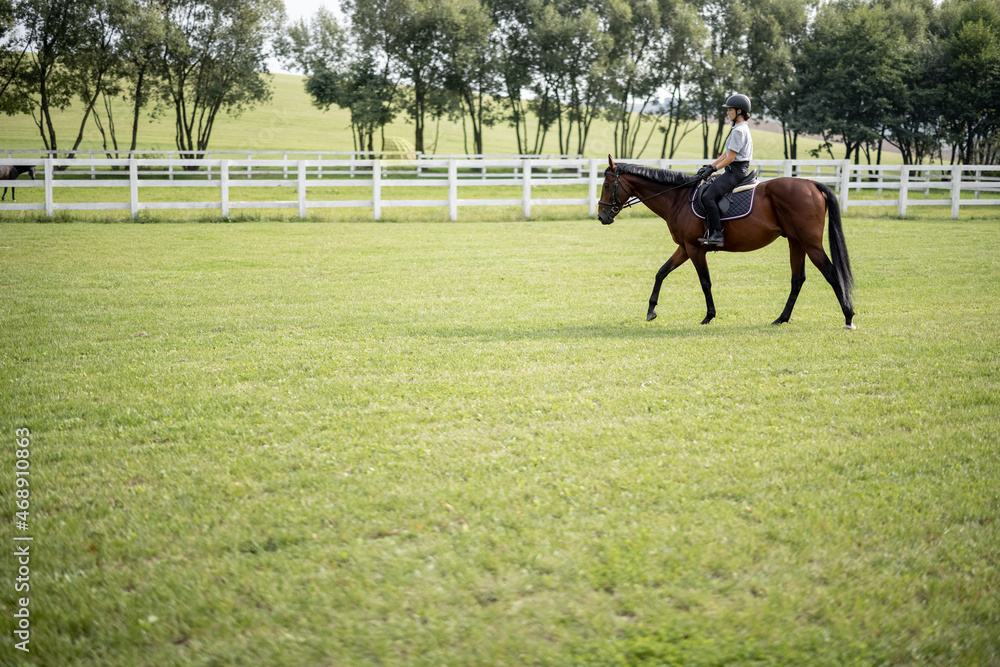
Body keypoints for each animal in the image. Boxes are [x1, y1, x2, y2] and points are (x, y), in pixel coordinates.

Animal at [596, 159, 856, 332]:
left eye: (607, 185)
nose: (602, 216)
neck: (678, 199)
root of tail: (812, 184)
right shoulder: (684, 247)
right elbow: (661, 272)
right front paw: (651, 310)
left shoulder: (695, 249)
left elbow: (705, 282)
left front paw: (708, 316)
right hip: (796, 242)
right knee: (797, 279)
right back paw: (781, 318)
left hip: (810, 244)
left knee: (831, 273)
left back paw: (848, 317)